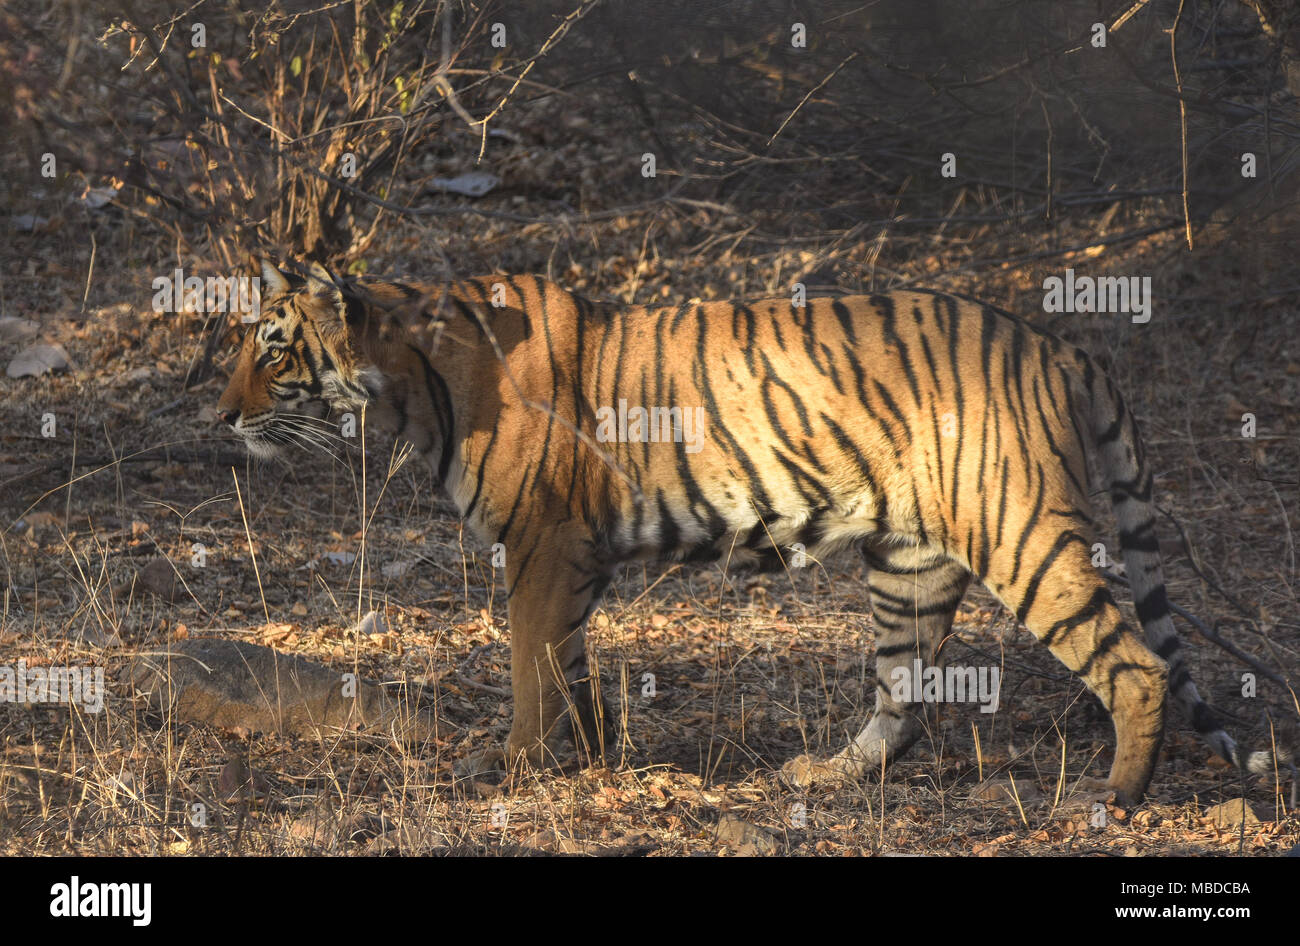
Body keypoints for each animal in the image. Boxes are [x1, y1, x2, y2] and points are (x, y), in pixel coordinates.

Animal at [215, 254, 1279, 800]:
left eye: (274, 352)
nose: (221, 415)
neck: (413, 383)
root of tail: (1059, 346)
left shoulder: (541, 547)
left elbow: (529, 669)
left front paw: (513, 766)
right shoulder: (575, 559)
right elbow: (571, 667)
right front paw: (591, 757)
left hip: (1021, 533)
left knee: (1133, 665)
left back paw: (1113, 801)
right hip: (911, 562)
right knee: (904, 695)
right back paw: (827, 775)